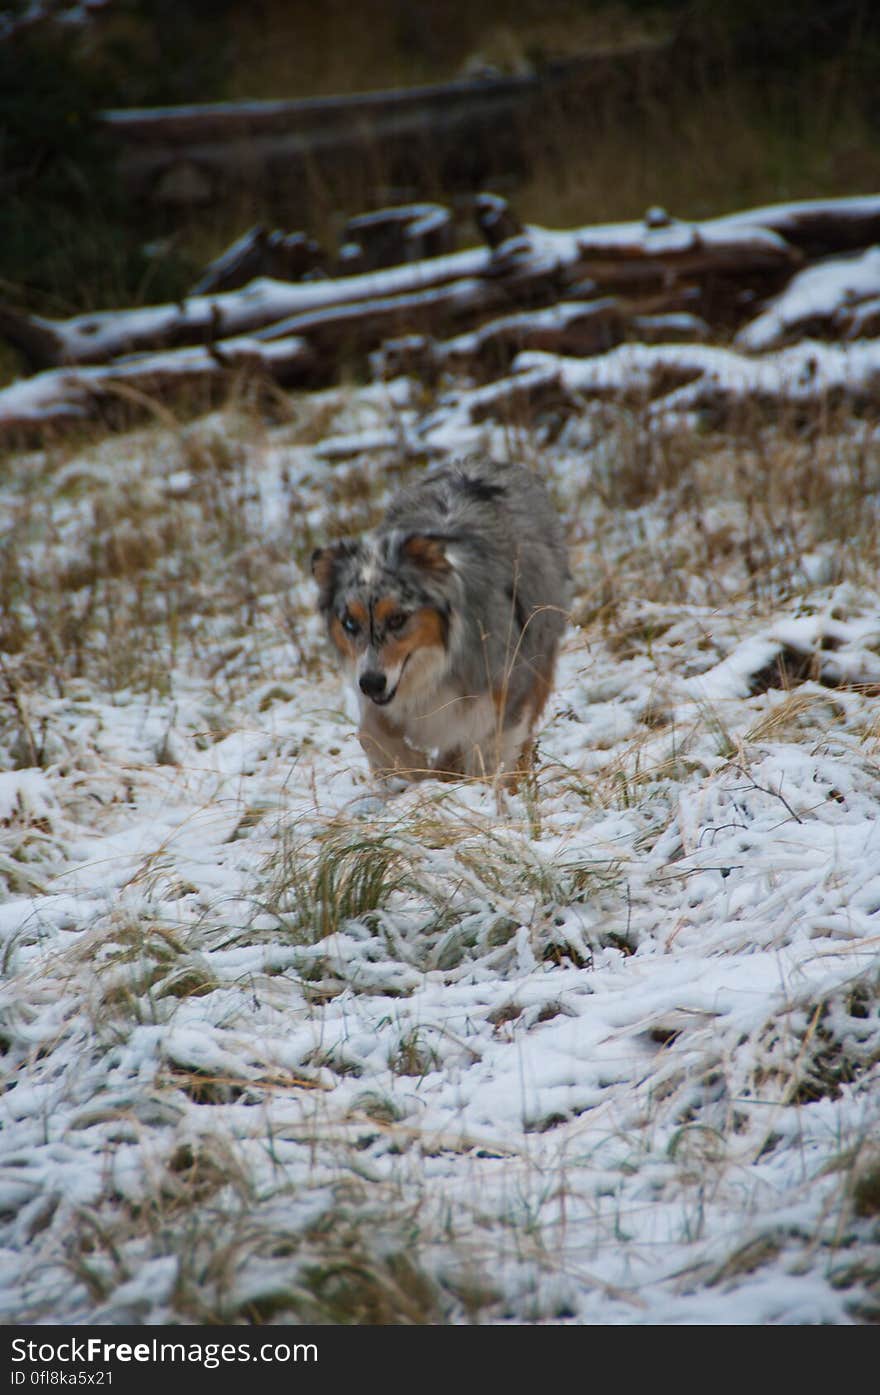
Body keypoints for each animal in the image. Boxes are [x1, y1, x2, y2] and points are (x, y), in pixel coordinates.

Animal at [309, 460, 571, 781]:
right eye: (349, 623)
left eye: (397, 619)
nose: (371, 683)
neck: (434, 664)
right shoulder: (377, 694)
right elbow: (370, 733)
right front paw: (412, 770)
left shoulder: (507, 683)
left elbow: (490, 749)